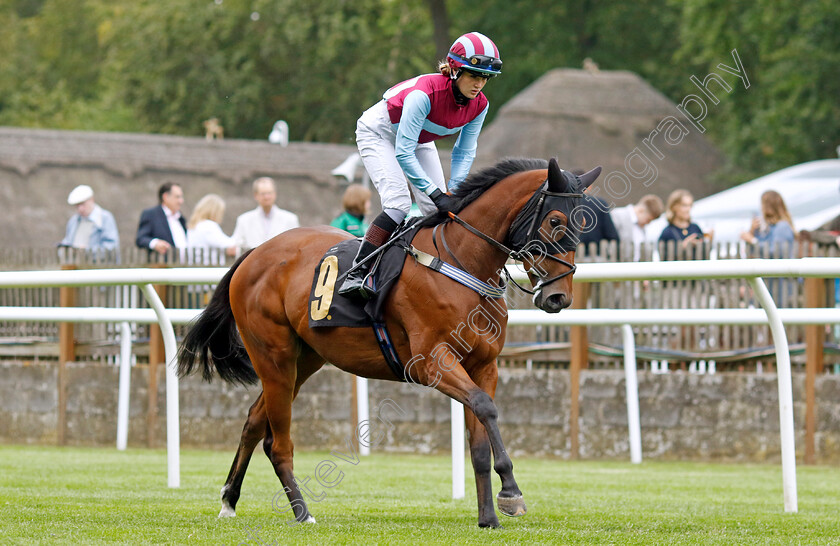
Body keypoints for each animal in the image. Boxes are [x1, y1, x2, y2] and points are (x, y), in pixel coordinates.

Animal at [177, 157, 600, 528]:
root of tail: (253, 253)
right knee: (277, 442)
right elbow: (485, 407)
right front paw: (511, 493)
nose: (558, 297)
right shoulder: (431, 363)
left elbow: (479, 438)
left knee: (253, 421)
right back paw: (302, 512)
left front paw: (488, 518)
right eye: (556, 221)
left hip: (304, 361)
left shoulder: (484, 365)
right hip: (274, 357)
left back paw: (229, 500)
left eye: (583, 223)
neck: (461, 262)